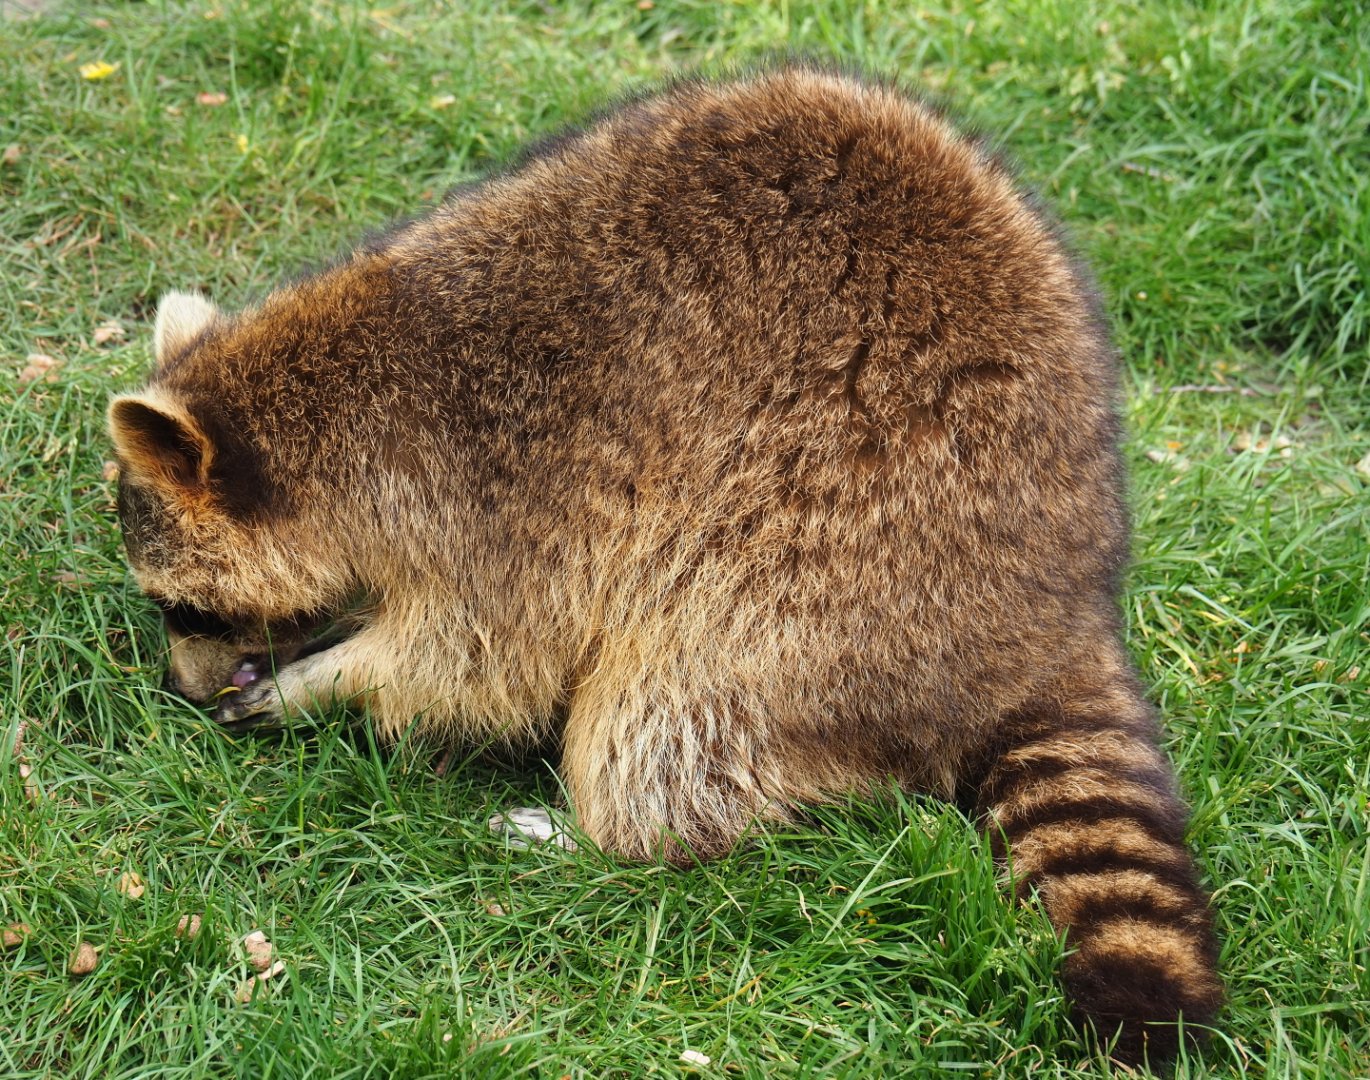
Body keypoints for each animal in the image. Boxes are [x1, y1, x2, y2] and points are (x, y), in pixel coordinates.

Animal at [108, 66, 1222, 1061]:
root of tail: (1065, 603)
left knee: (677, 694)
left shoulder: (508, 494)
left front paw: (326, 682)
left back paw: (606, 832)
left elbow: (480, 662)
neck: (333, 414)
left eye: (185, 610)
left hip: (857, 551)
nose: (181, 691)